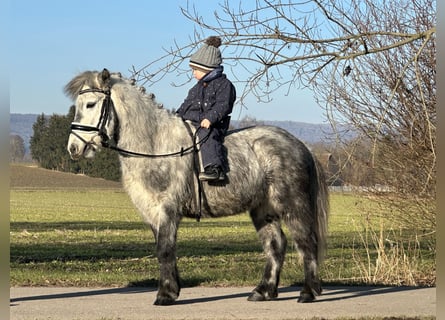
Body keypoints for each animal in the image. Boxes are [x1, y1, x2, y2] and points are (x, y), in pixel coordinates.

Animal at [64, 68, 328, 304]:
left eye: (90, 104)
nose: (73, 148)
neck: (155, 146)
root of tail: (300, 144)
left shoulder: (167, 208)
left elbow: (165, 249)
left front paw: (165, 295)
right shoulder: (152, 212)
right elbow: (164, 248)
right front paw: (173, 289)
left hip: (293, 205)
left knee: (306, 242)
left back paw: (308, 292)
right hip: (263, 209)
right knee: (276, 245)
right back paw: (262, 291)